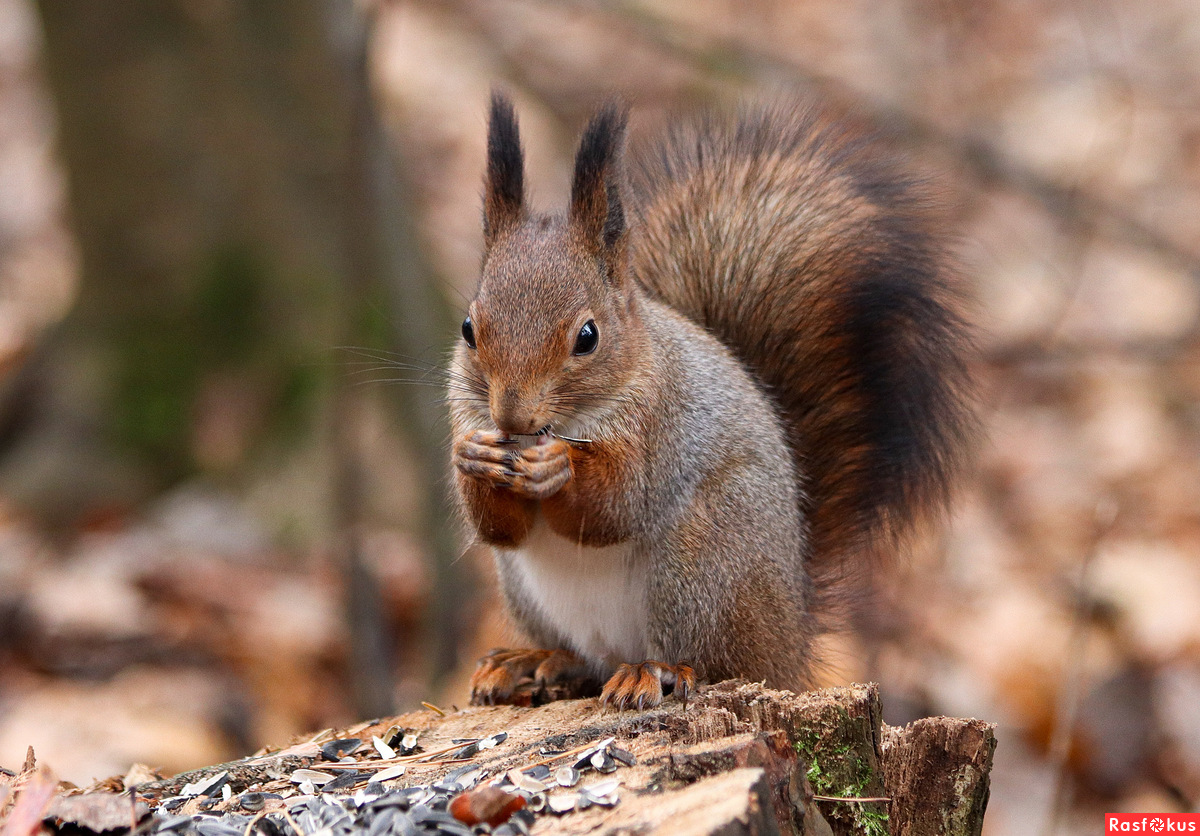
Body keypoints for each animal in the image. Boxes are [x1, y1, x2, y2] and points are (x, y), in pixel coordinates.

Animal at [451, 91, 974, 705]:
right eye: (468, 328)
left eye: (588, 336)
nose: (510, 416)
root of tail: (791, 636)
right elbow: (499, 529)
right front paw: (473, 458)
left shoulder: (660, 422)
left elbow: (615, 506)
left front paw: (559, 468)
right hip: (527, 589)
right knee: (580, 655)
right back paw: (531, 662)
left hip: (705, 560)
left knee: (718, 663)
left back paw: (659, 671)